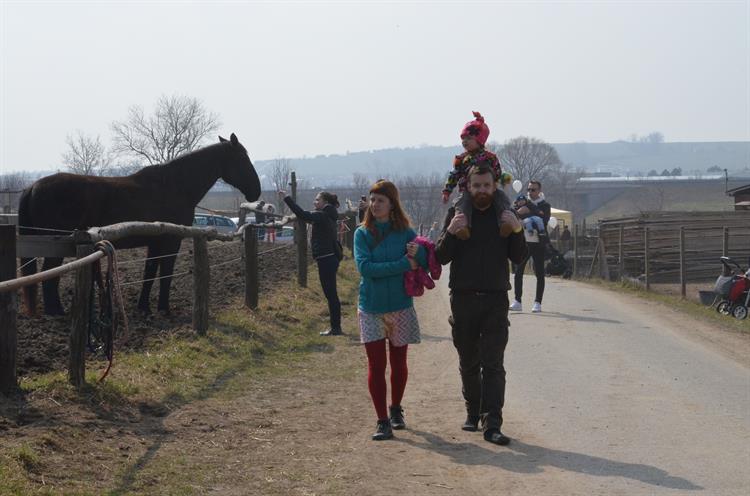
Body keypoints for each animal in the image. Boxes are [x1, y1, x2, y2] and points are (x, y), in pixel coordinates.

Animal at [17, 134, 262, 316]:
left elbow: (150, 272)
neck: (174, 185)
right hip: (56, 245)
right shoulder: (171, 241)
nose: (256, 190)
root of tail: (32, 186)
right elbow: (165, 273)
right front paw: (164, 309)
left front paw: (144, 307)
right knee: (50, 275)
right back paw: (56, 311)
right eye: (242, 159)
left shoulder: (156, 241)